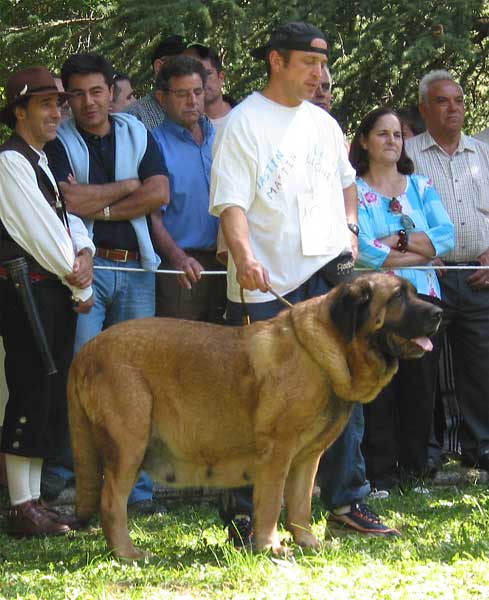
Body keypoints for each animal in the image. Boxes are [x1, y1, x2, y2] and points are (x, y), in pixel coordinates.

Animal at [69, 274, 442, 560]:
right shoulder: (278, 452)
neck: (327, 351)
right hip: (129, 446)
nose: (439, 313)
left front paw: (307, 542)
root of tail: (85, 352)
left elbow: (300, 505)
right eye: (398, 296)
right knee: (111, 503)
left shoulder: (307, 458)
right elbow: (271, 503)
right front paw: (270, 546)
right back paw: (128, 554)